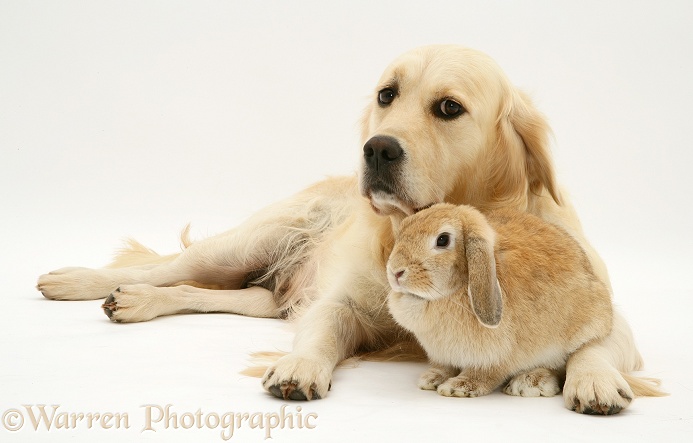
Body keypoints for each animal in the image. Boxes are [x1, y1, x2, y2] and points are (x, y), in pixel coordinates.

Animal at [386, 203, 612, 400]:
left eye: (442, 240)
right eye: (403, 230)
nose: (395, 271)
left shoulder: (496, 356)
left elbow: (486, 373)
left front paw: (458, 387)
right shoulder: (443, 356)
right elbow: (445, 366)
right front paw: (431, 378)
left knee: (559, 364)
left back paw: (530, 382)